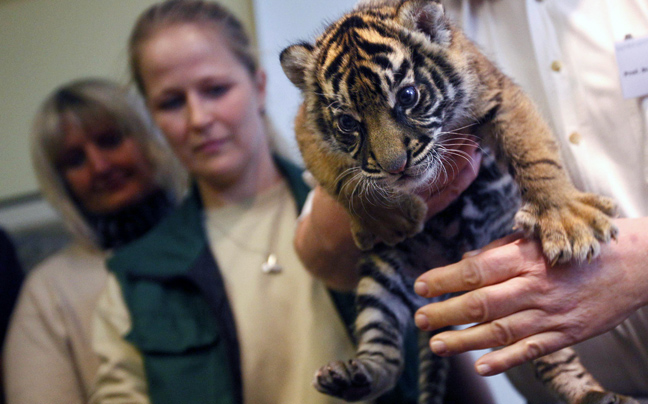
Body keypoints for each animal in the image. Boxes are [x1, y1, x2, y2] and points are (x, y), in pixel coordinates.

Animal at [280, 1, 635, 404]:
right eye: (348, 123)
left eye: (407, 96)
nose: (396, 166)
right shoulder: (307, 130)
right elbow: (340, 176)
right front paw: (391, 219)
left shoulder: (497, 94)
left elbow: (532, 151)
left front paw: (563, 216)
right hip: (381, 280)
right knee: (384, 352)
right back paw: (351, 377)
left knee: (551, 355)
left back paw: (592, 394)